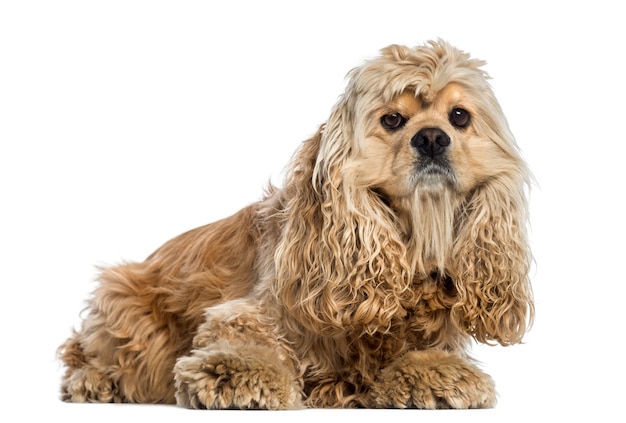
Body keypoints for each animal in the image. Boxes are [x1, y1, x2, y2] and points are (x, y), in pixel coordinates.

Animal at [57, 40, 532, 410]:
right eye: (392, 119)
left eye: (459, 117)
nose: (432, 138)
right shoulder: (261, 308)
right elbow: (244, 332)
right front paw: (235, 369)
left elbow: (423, 349)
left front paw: (437, 373)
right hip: (125, 304)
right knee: (87, 352)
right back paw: (97, 380)